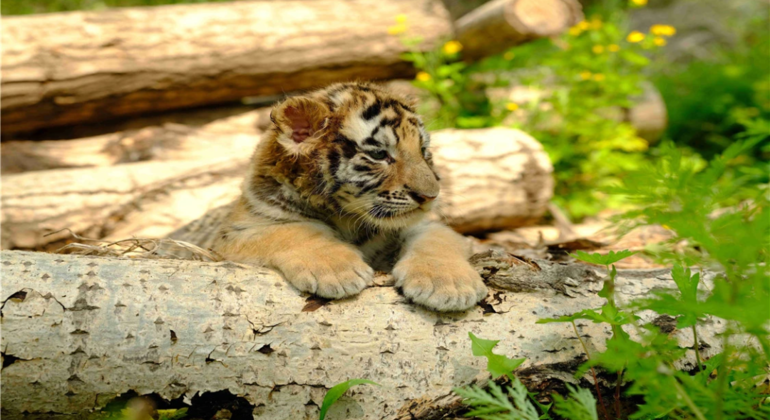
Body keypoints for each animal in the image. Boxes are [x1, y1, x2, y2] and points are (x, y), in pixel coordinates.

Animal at [212, 82, 487, 312]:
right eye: (378, 154)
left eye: (423, 151)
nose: (430, 196)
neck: (346, 218)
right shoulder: (235, 233)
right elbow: (291, 230)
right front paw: (336, 270)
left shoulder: (425, 226)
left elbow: (436, 236)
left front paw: (448, 285)